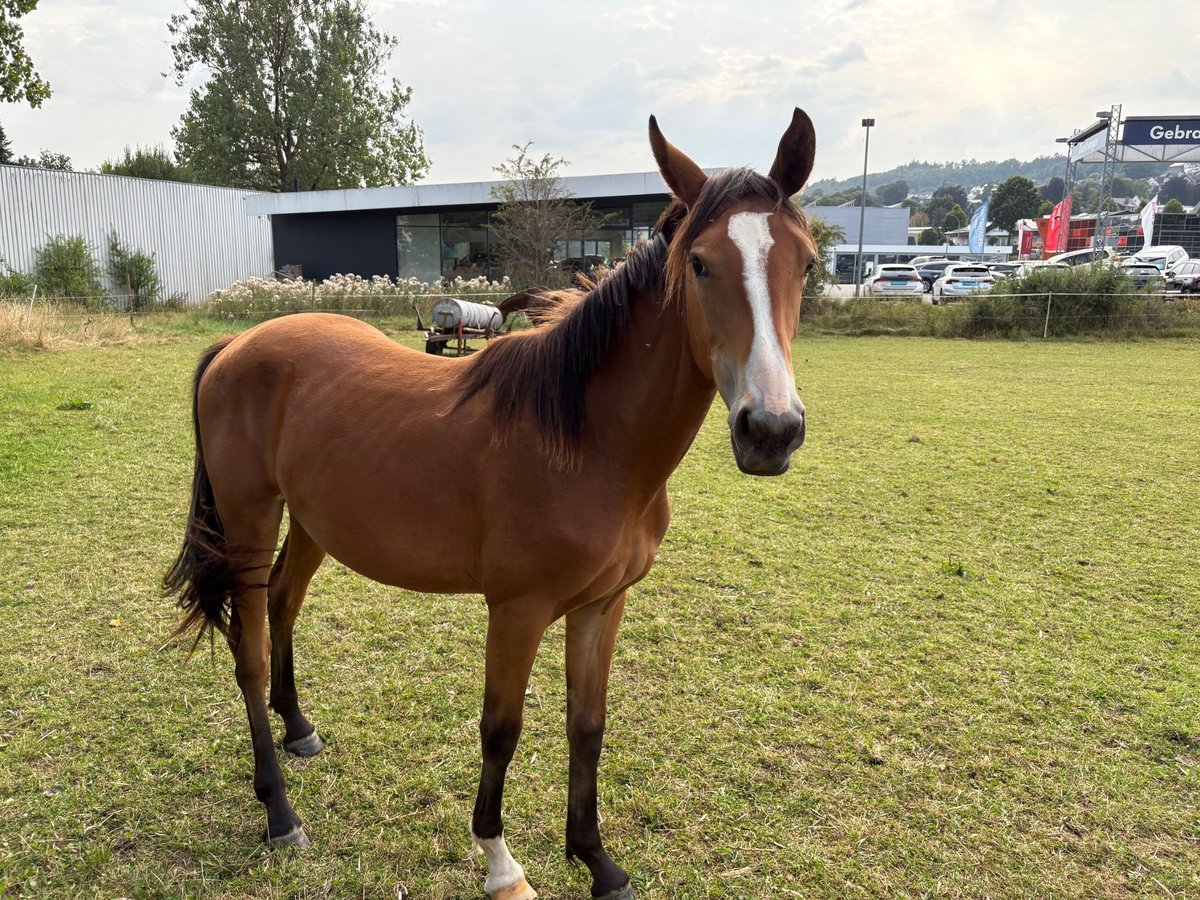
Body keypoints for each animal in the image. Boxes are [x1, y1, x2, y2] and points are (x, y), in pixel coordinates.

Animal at [164, 108, 817, 900]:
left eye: (806, 263)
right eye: (699, 263)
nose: (771, 431)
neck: (588, 440)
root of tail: (237, 344)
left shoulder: (603, 606)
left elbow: (587, 726)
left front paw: (597, 861)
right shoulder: (517, 610)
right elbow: (501, 729)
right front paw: (502, 862)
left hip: (314, 523)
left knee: (285, 605)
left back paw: (299, 730)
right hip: (249, 522)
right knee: (250, 650)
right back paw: (279, 812)